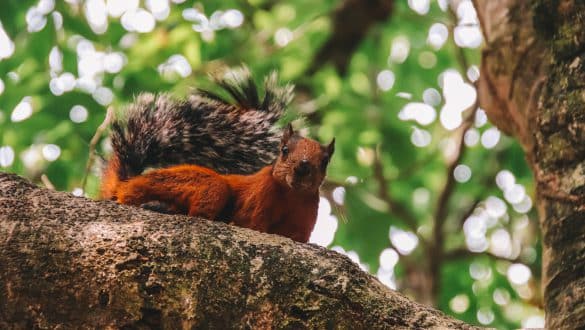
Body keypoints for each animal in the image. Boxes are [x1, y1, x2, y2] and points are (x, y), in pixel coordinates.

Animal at [100, 67, 334, 242]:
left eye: (324, 161)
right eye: (284, 150)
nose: (302, 166)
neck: (290, 196)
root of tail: (124, 184)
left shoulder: (303, 223)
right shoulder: (257, 200)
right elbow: (250, 224)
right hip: (192, 183)